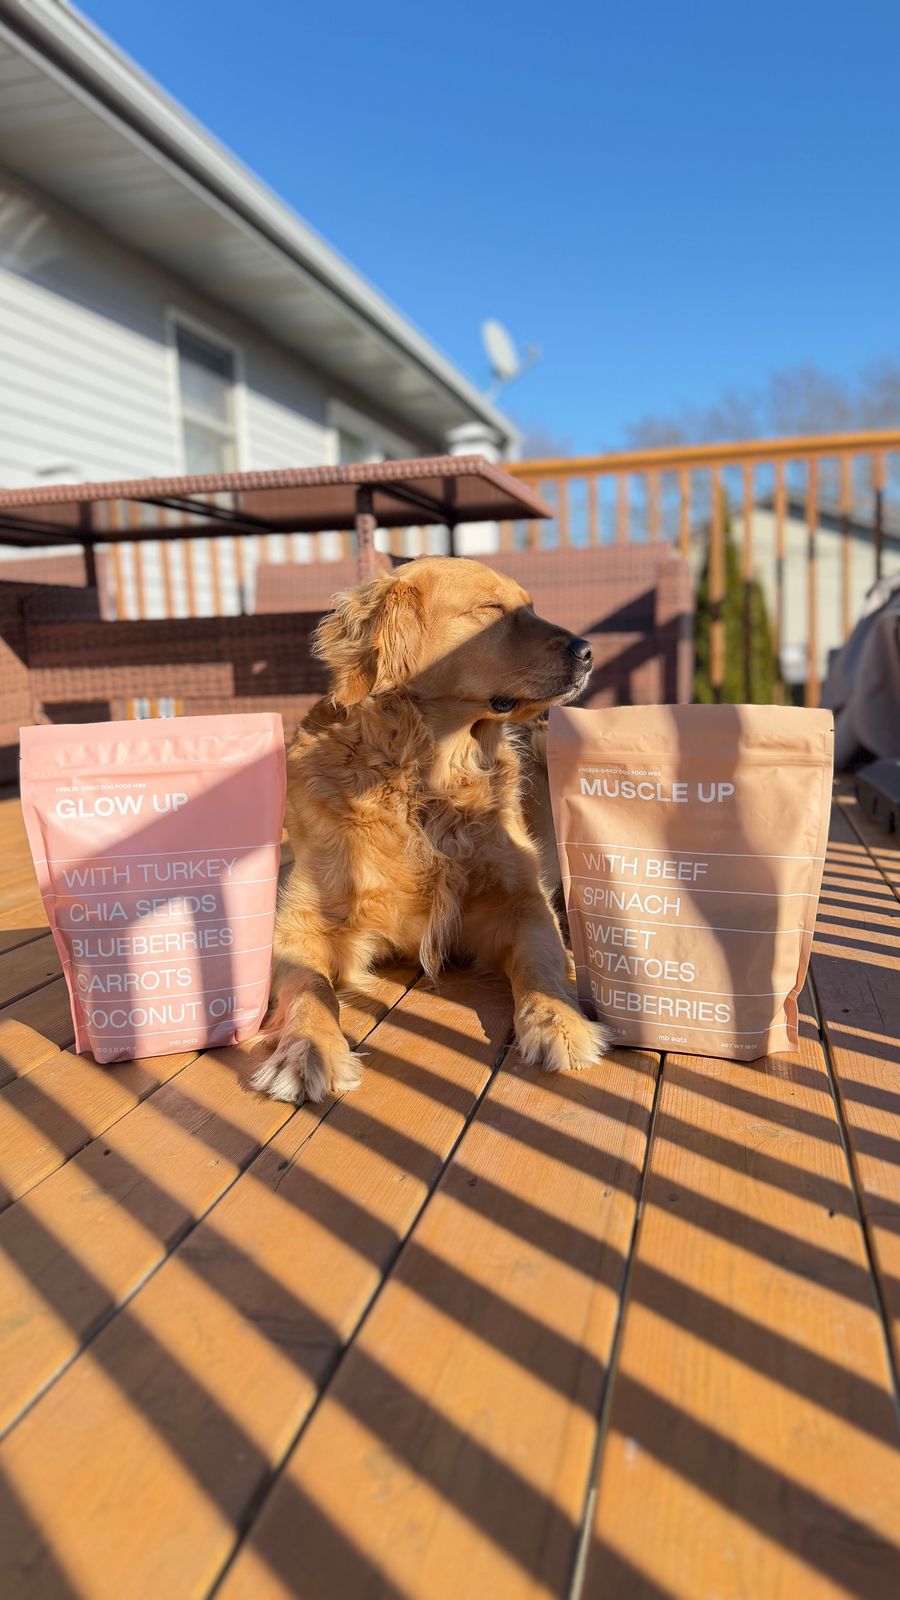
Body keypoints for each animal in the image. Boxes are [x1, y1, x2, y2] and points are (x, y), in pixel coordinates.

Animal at [252, 556, 609, 1104]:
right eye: (491, 609)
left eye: (530, 606)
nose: (588, 651)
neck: (427, 783)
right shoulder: (300, 924)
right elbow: (309, 988)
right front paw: (308, 1048)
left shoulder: (522, 903)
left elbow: (541, 963)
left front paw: (560, 1022)